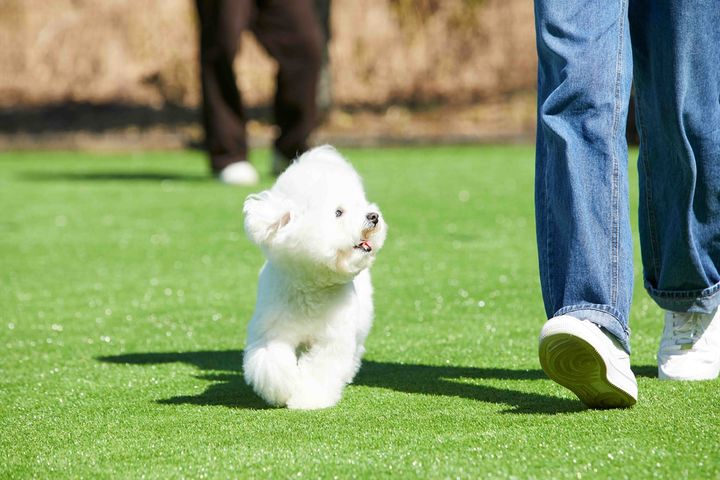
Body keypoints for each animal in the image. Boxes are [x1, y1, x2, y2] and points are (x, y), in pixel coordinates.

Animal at [240, 146, 388, 408]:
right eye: (338, 212)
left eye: (360, 206)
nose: (373, 216)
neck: (311, 287)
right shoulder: (272, 331)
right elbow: (272, 362)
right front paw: (283, 387)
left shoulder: (332, 339)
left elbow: (320, 369)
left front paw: (307, 399)